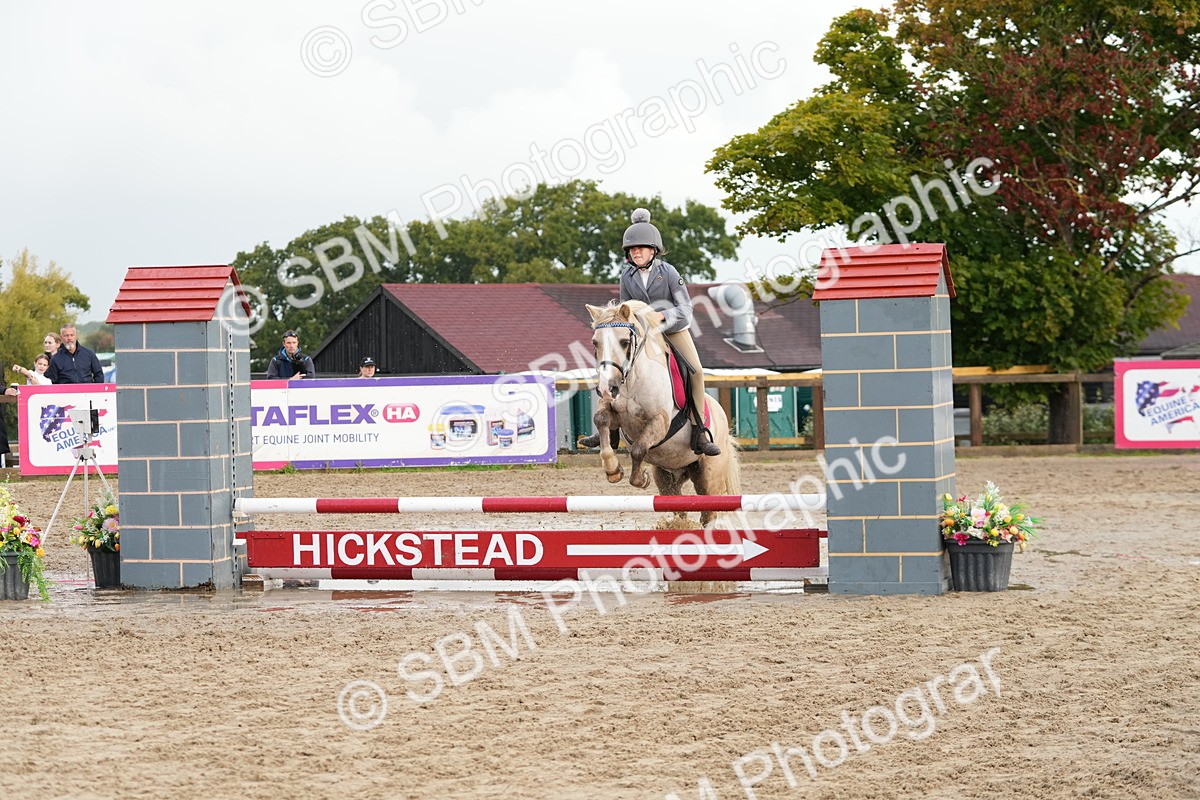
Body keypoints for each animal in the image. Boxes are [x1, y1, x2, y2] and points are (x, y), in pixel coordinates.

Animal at [586, 300, 740, 526]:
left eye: (624, 342)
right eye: (595, 343)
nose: (606, 388)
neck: (632, 380)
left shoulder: (660, 421)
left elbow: (638, 449)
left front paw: (641, 479)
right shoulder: (614, 414)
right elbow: (601, 419)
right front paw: (613, 469)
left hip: (709, 476)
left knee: (709, 512)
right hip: (668, 476)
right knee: (679, 506)